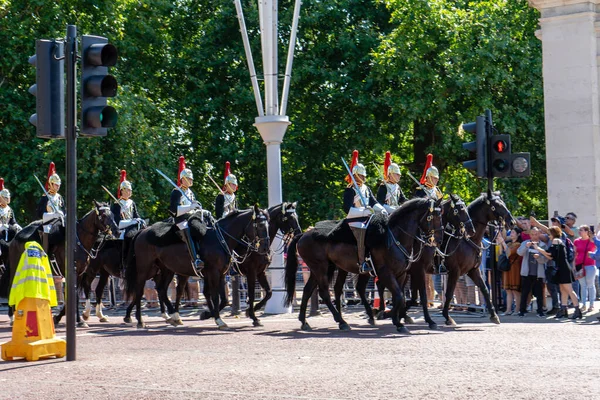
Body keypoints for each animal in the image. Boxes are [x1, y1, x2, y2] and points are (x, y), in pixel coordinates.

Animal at [124, 206, 270, 328]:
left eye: (268, 224)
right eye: (261, 225)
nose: (265, 249)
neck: (220, 239)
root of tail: (142, 232)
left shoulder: (221, 273)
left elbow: (222, 298)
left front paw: (212, 315)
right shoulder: (214, 273)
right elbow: (215, 296)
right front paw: (219, 320)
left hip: (166, 270)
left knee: (161, 290)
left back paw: (174, 317)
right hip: (144, 269)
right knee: (139, 291)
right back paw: (140, 320)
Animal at [284, 198, 442, 334]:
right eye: (433, 216)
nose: (439, 240)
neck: (394, 238)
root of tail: (303, 234)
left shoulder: (402, 274)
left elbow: (401, 296)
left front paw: (395, 318)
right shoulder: (387, 273)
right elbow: (400, 296)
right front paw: (392, 318)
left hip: (321, 269)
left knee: (309, 290)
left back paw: (304, 322)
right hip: (321, 268)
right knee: (325, 292)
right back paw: (342, 321)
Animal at [436, 192, 516, 326]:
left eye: (503, 203)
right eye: (497, 205)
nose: (512, 222)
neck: (468, 240)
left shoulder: (473, 270)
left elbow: (485, 289)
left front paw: (494, 315)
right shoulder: (455, 271)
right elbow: (449, 293)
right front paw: (448, 317)